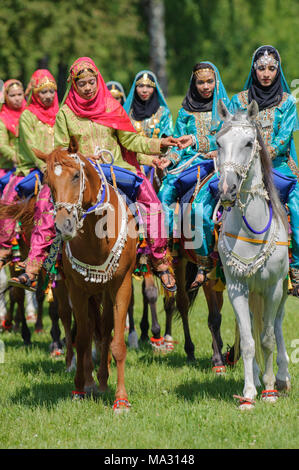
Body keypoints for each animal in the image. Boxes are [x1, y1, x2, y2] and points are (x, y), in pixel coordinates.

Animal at [34, 137, 137, 412]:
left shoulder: (121, 286)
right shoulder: (77, 289)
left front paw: (121, 400)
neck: (96, 237)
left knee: (105, 328)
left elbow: (117, 342)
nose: (64, 225)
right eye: (48, 180)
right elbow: (81, 340)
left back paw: (102, 380)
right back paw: (91, 381)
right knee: (88, 328)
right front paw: (79, 389)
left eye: (76, 176)